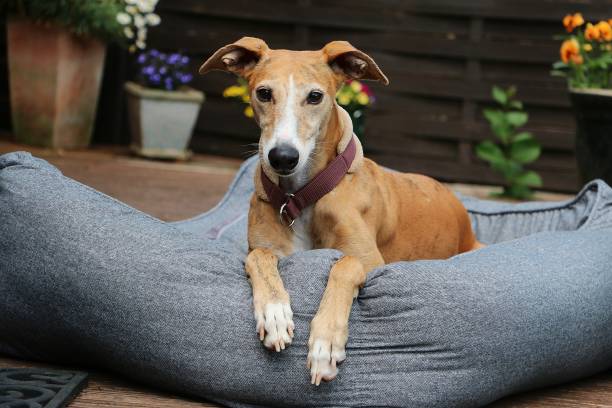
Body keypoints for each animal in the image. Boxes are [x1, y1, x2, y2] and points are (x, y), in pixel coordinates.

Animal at [198, 36, 480, 384]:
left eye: (315, 96)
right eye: (264, 93)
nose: (282, 158)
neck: (301, 196)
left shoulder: (370, 261)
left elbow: (345, 264)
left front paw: (324, 344)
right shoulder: (262, 247)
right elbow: (259, 257)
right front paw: (275, 313)